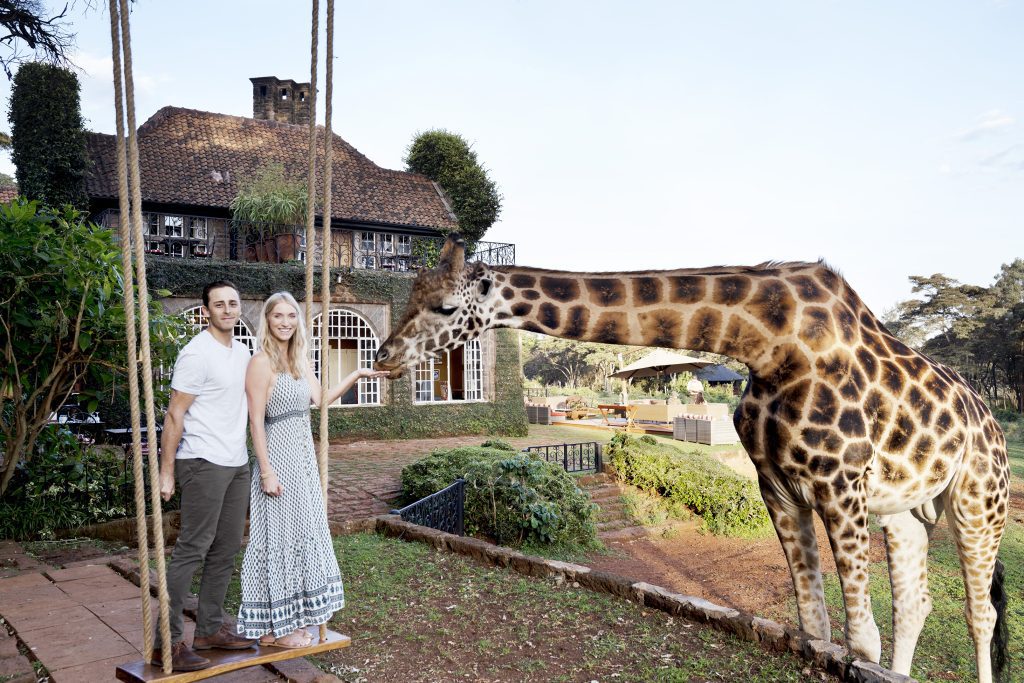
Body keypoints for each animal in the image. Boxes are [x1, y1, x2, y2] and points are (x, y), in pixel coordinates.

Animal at [372, 233, 1011, 679]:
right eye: (411, 292)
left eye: (444, 306)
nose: (383, 358)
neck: (767, 343)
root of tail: (990, 418)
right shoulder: (778, 487)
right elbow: (814, 625)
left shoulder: (840, 487)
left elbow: (861, 641)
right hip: (906, 508)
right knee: (916, 603)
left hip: (979, 501)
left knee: (980, 614)